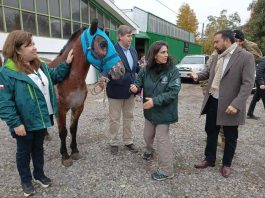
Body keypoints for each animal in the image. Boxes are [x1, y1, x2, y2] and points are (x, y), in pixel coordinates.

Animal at [48, 19, 125, 166]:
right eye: (103, 44)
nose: (121, 70)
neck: (68, 78)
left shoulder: (78, 107)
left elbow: (73, 129)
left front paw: (74, 151)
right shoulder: (60, 110)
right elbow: (63, 132)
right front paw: (65, 156)